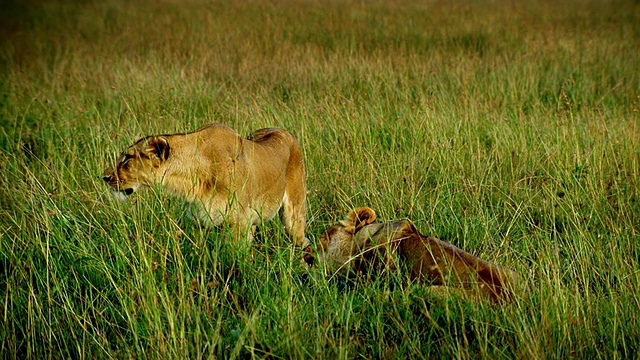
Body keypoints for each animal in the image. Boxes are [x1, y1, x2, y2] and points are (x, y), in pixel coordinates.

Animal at [102, 124, 308, 248]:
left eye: (127, 158)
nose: (104, 177)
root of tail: (285, 131)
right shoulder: (201, 223)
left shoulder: (239, 224)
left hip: (293, 217)